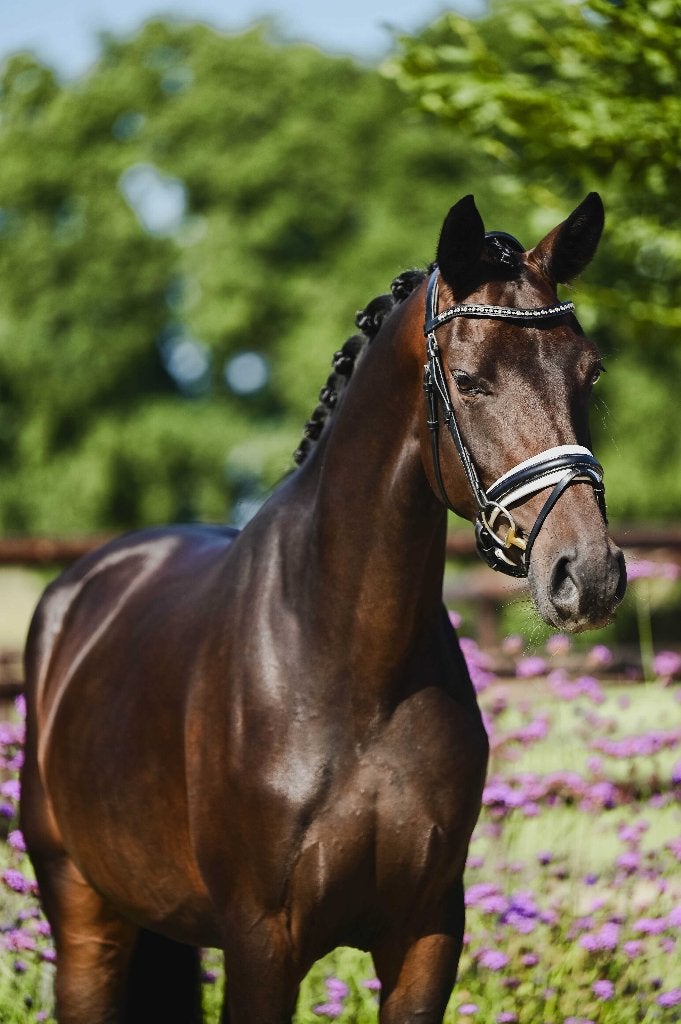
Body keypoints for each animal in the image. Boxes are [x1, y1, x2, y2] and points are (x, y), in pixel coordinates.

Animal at [21, 192, 626, 1024]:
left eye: (587, 373)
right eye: (469, 380)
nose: (585, 574)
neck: (348, 664)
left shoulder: (426, 935)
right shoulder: (261, 942)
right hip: (85, 918)